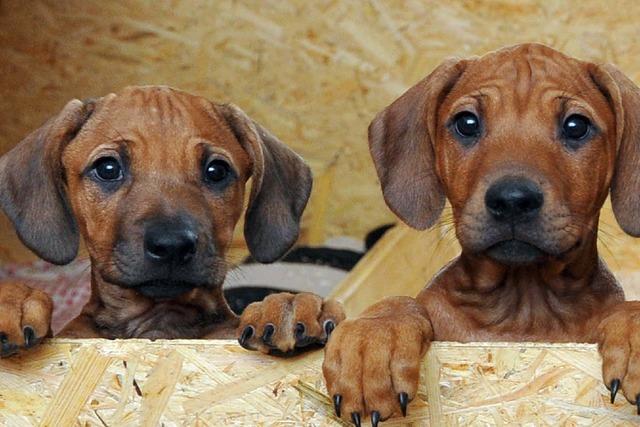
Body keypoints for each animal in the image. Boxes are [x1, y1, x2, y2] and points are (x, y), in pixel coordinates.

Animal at [0, 85, 344, 356]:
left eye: (216, 171)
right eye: (108, 168)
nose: (172, 246)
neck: (158, 322)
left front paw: (288, 306)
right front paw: (12, 302)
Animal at [324, 43, 640, 424]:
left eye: (576, 126)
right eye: (467, 123)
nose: (513, 200)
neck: (524, 308)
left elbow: (629, 308)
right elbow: (401, 302)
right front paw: (372, 339)